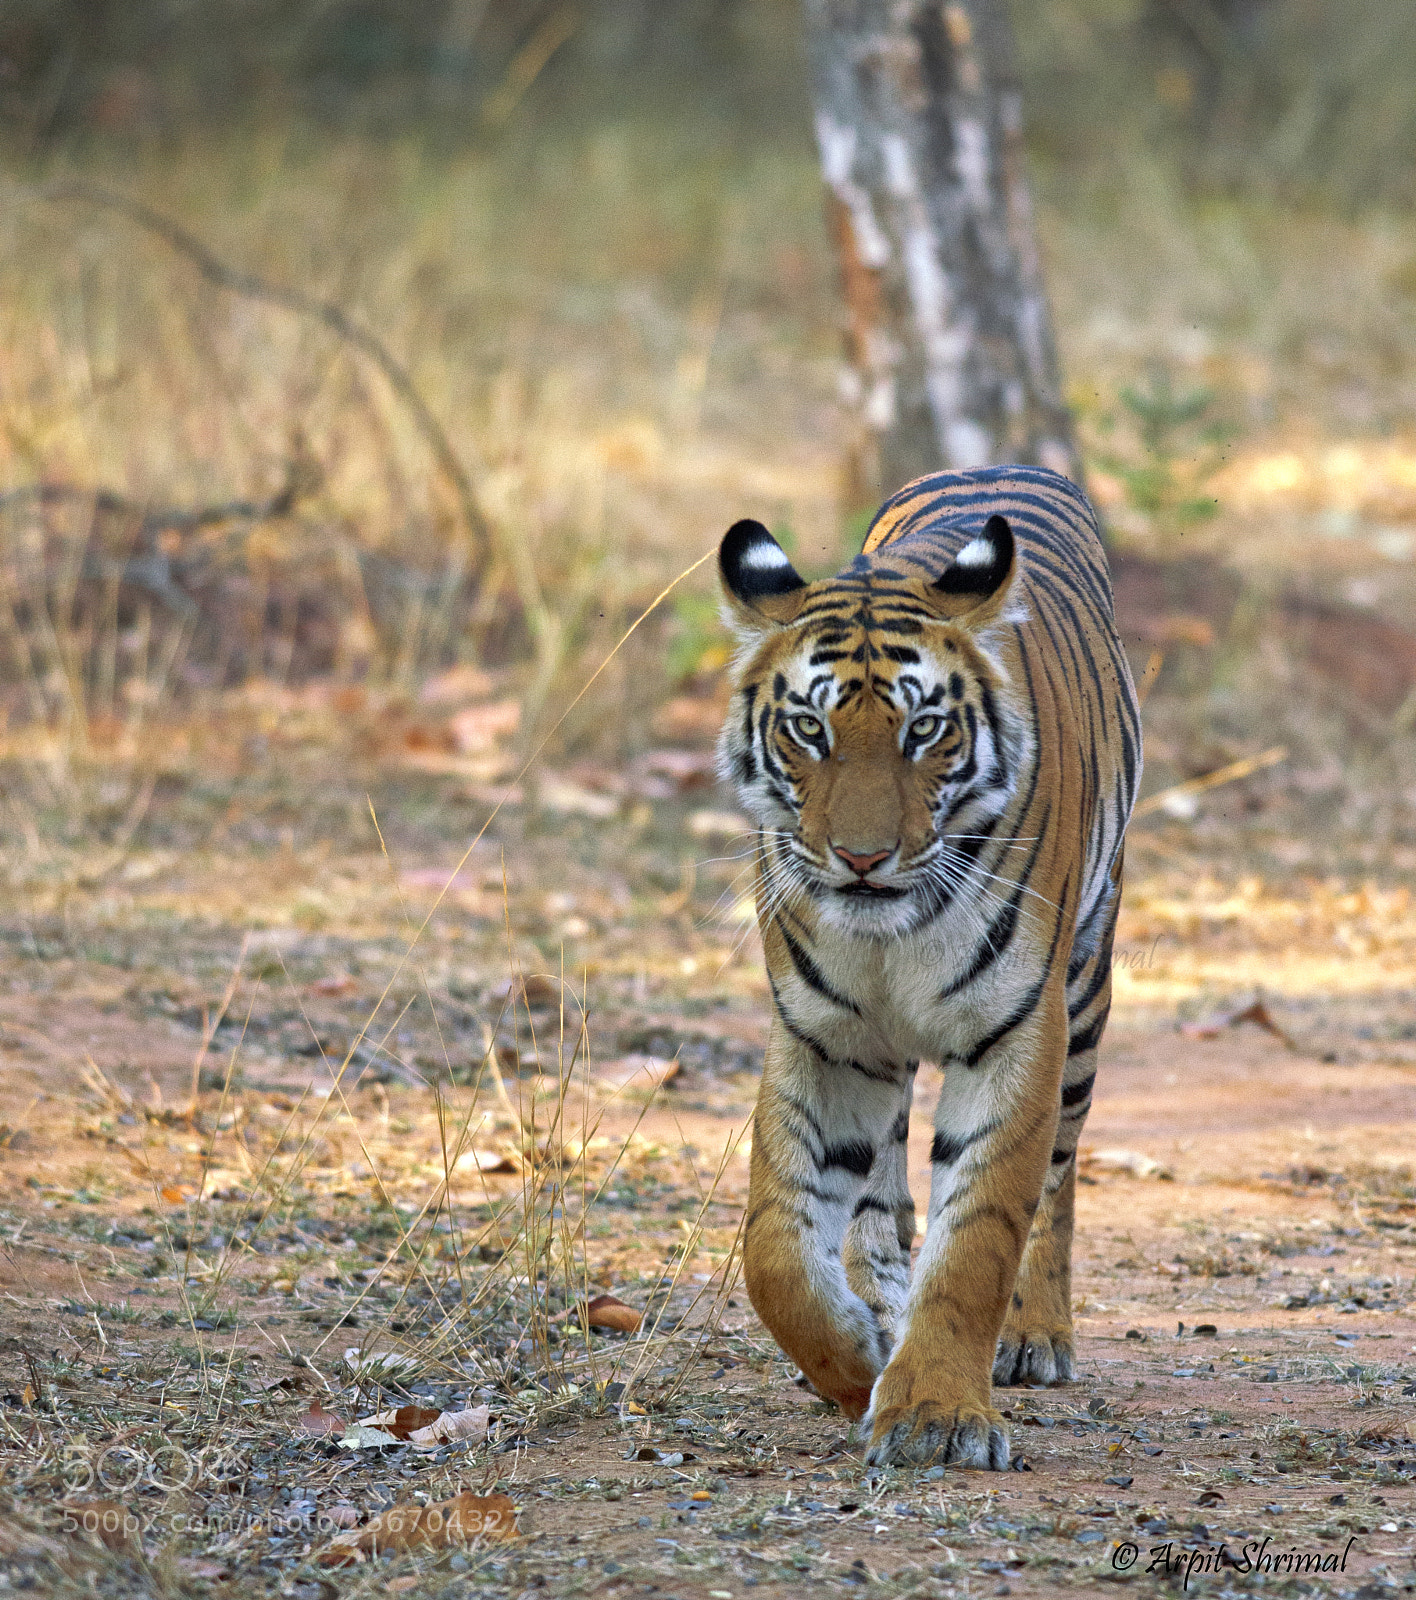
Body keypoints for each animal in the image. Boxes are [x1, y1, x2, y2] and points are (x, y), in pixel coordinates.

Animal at [716, 464, 1141, 1469]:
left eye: (924, 731)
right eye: (809, 730)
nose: (862, 858)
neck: (887, 936)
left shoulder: (1018, 1029)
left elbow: (981, 1233)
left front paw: (936, 1413)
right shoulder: (823, 1035)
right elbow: (774, 1250)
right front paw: (854, 1363)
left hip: (1087, 990)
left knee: (1058, 1176)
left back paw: (1034, 1336)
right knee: (877, 1192)